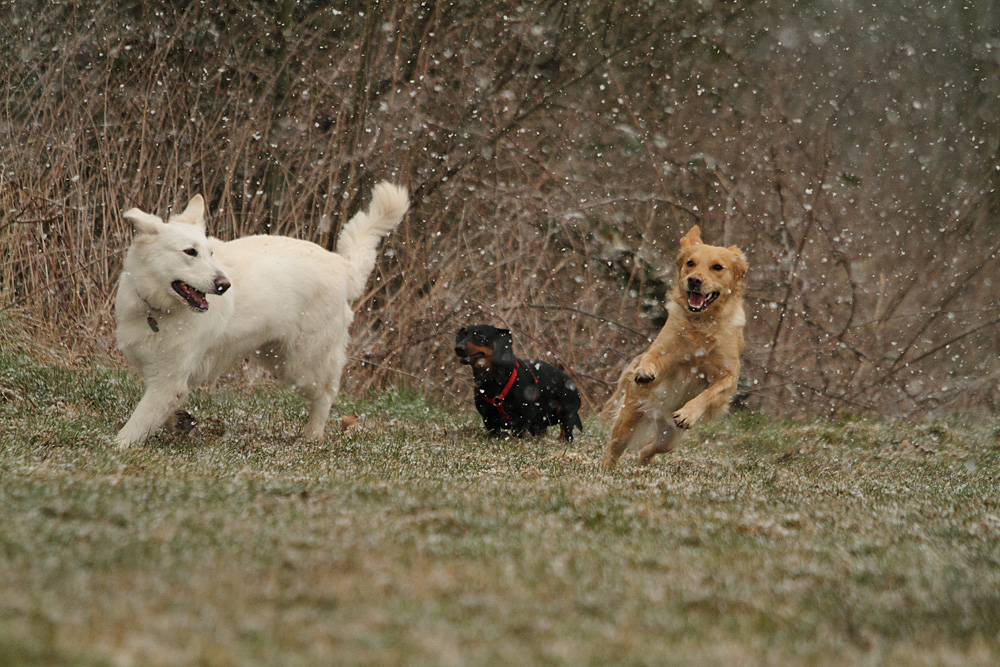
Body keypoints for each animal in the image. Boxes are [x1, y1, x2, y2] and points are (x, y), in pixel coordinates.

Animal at [114, 182, 409, 447]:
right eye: (190, 252)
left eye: (210, 253)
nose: (224, 285)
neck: (156, 310)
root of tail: (342, 265)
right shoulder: (159, 374)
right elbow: (157, 411)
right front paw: (177, 421)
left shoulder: (169, 378)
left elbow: (137, 422)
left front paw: (116, 447)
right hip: (275, 356)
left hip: (301, 366)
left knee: (326, 394)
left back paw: (312, 436)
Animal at [454, 325, 583, 441]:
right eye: (461, 336)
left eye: (480, 335)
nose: (458, 348)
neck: (494, 379)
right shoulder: (488, 417)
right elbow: (495, 433)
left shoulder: (525, 414)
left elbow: (518, 432)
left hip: (567, 413)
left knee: (566, 433)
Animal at [601, 225, 747, 468]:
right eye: (690, 263)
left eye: (717, 267)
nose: (695, 280)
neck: (702, 324)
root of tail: (657, 415)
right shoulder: (665, 348)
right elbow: (652, 357)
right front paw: (645, 371)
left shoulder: (729, 376)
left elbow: (709, 393)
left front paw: (688, 413)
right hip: (629, 416)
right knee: (614, 448)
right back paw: (606, 469)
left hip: (669, 438)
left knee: (649, 449)